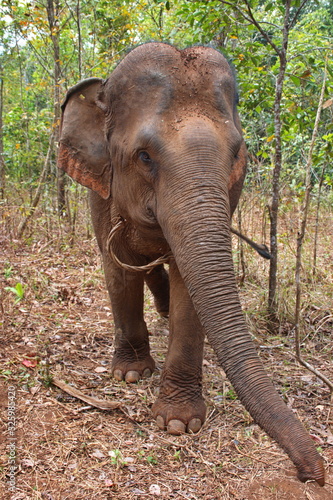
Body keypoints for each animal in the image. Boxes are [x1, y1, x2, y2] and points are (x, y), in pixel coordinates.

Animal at [57, 41, 324, 486]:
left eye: (237, 153)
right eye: (144, 156)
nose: (312, 475)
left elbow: (191, 285)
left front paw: (179, 423)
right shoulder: (100, 191)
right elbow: (117, 270)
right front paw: (130, 375)